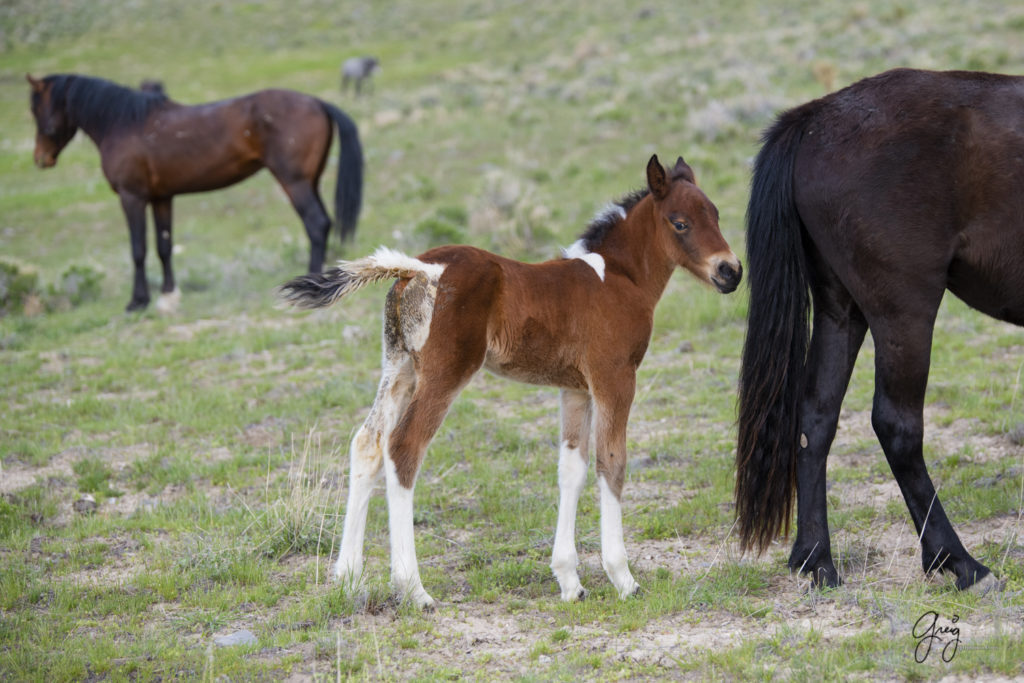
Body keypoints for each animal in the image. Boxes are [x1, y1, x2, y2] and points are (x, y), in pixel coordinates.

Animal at [27, 72, 364, 313]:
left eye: (36, 108)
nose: (40, 159)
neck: (123, 125)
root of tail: (318, 102)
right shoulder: (162, 198)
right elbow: (164, 247)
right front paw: (168, 297)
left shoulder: (132, 197)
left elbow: (138, 250)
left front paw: (137, 302)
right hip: (310, 181)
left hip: (293, 182)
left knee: (316, 223)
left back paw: (312, 284)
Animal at [282, 156, 745, 610]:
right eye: (679, 222)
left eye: (717, 214)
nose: (731, 271)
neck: (618, 277)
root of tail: (421, 268)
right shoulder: (615, 378)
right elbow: (611, 463)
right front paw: (623, 578)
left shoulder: (575, 389)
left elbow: (571, 468)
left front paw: (570, 582)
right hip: (445, 373)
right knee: (403, 448)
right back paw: (413, 589)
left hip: (400, 368)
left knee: (368, 442)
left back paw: (349, 580)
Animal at [741, 69, 1019, 593]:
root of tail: (814, 118)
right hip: (902, 313)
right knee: (897, 426)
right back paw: (958, 561)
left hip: (841, 310)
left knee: (815, 419)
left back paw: (816, 559)